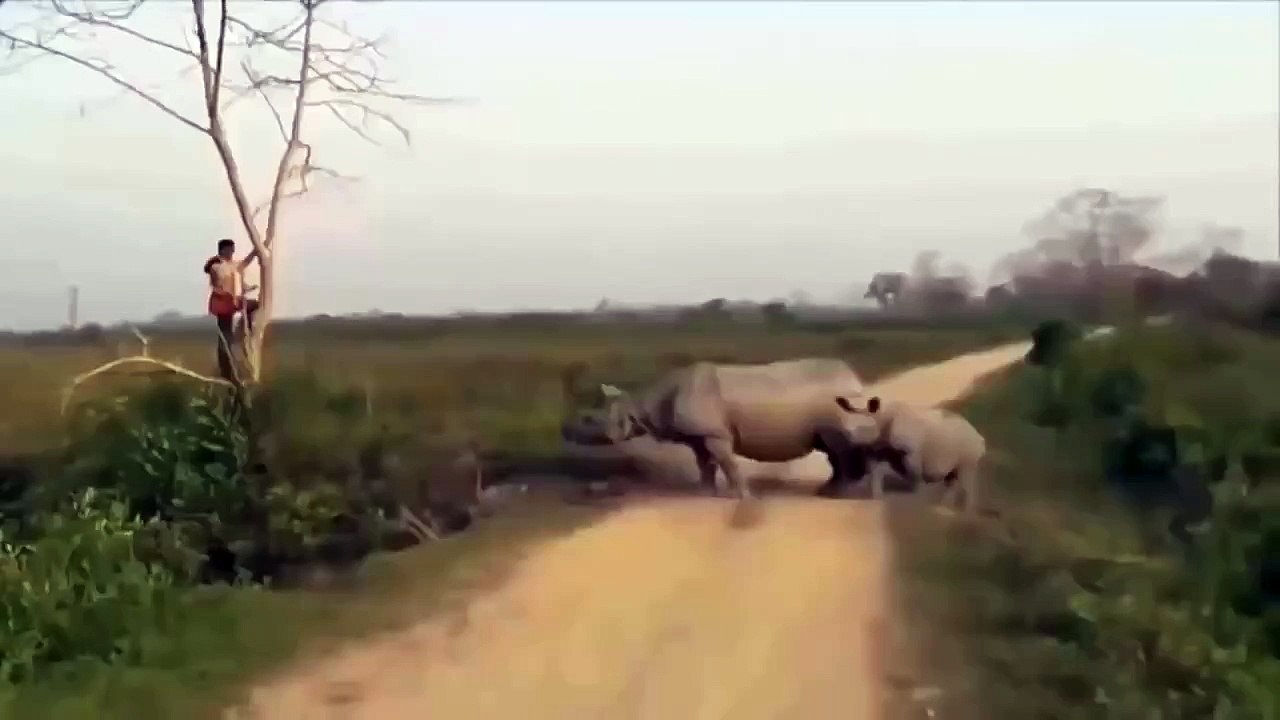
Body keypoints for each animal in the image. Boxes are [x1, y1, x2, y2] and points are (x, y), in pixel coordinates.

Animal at [564, 358, 879, 500]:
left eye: (592, 421)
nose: (569, 434)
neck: (643, 403)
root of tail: (854, 378)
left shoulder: (715, 433)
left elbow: (727, 462)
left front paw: (742, 497)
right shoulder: (698, 435)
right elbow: (705, 463)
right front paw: (704, 493)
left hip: (840, 405)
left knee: (838, 448)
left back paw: (836, 494)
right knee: (831, 449)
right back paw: (828, 490)